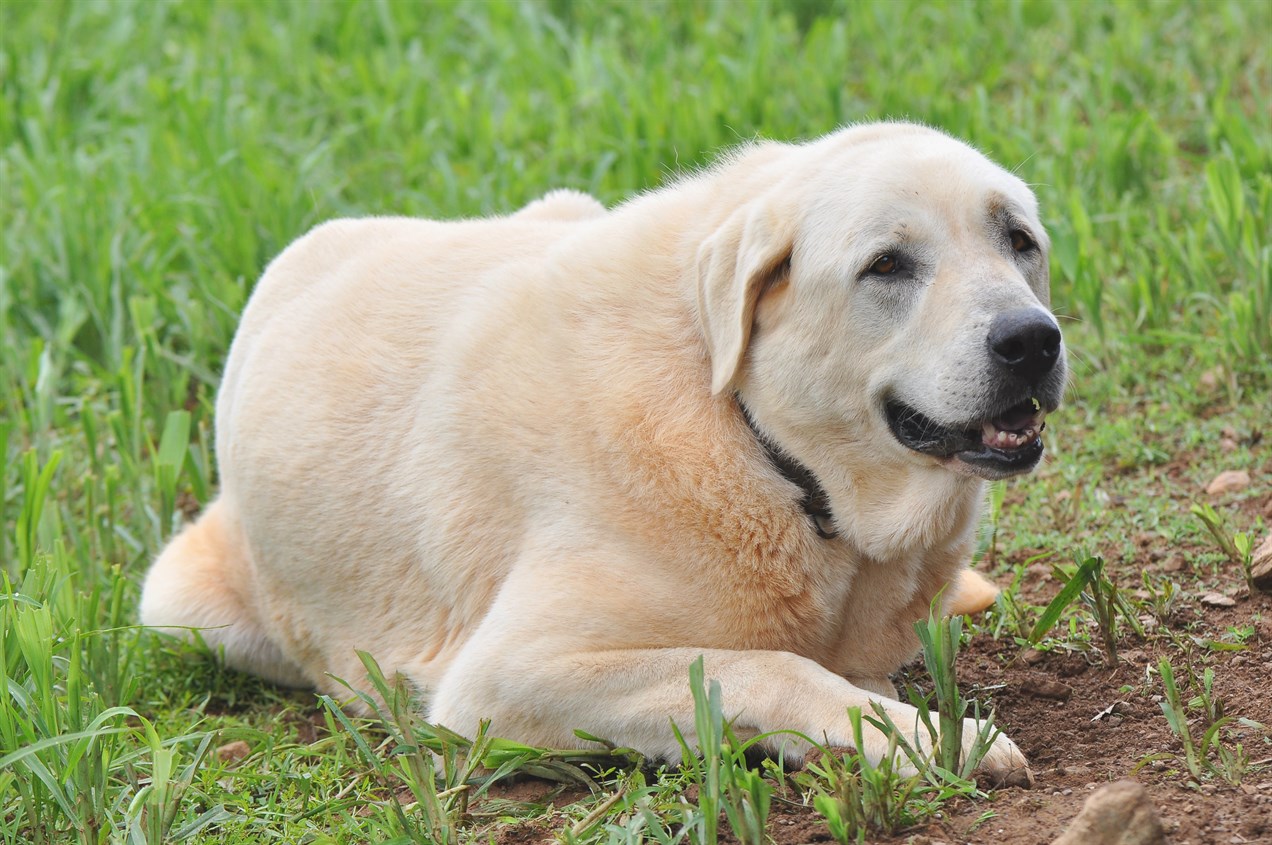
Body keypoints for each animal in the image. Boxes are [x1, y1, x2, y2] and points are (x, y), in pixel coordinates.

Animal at [141, 122, 1063, 773]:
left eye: (1019, 241)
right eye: (887, 265)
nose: (1033, 339)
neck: (760, 446)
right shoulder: (507, 678)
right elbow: (769, 666)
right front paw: (931, 738)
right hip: (184, 607)